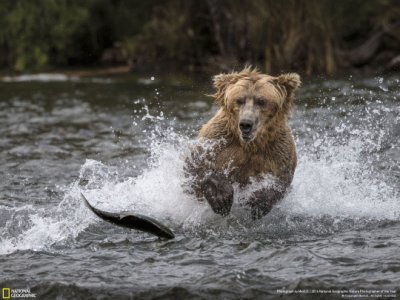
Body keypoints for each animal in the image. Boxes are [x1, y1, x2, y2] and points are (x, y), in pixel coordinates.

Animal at [185, 67, 300, 219]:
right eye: (239, 100)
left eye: (261, 101)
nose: (246, 124)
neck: (250, 144)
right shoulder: (217, 140)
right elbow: (198, 167)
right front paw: (222, 198)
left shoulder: (277, 149)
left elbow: (281, 180)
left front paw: (258, 201)